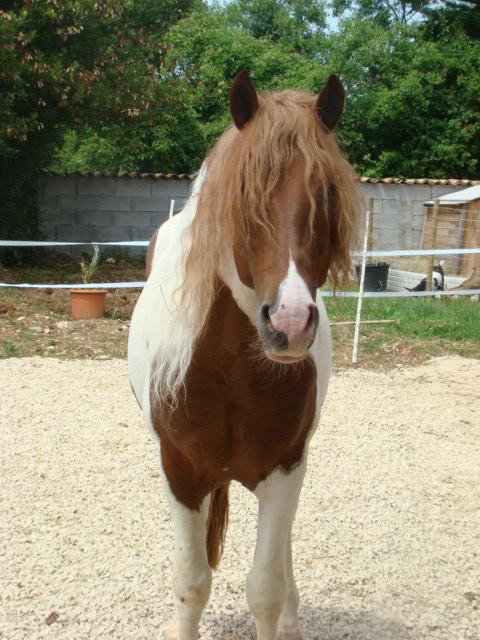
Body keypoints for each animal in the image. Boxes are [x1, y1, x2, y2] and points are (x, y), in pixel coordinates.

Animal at [128, 69, 360, 640]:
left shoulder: (286, 466)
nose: (290, 323)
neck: (230, 373)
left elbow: (266, 588)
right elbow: (191, 585)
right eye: (242, 192)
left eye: (326, 192)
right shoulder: (180, 472)